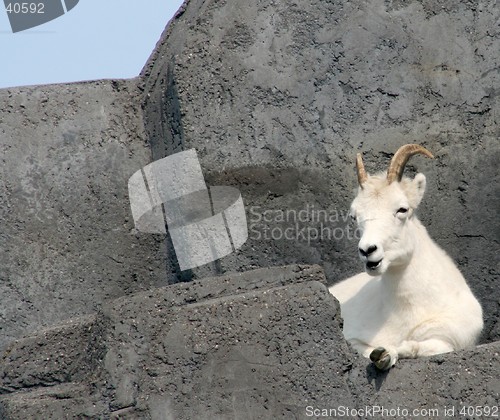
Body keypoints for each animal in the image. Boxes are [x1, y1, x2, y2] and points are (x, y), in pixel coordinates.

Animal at [330, 145, 482, 370]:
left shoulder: (448, 339)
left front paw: (386, 354)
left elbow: (418, 347)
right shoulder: (353, 337)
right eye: (354, 216)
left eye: (402, 209)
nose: (368, 250)